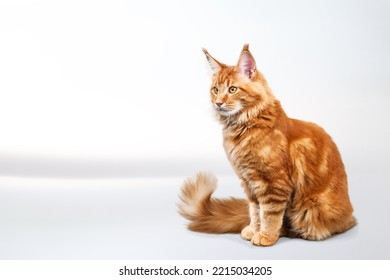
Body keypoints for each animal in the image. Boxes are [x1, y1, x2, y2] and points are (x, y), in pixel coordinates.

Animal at [178, 43, 354, 245]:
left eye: (232, 89)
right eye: (215, 89)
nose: (218, 103)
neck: (243, 127)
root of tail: (351, 216)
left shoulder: (273, 183)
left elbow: (269, 214)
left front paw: (266, 235)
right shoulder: (249, 182)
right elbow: (255, 211)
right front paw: (254, 230)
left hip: (310, 209)